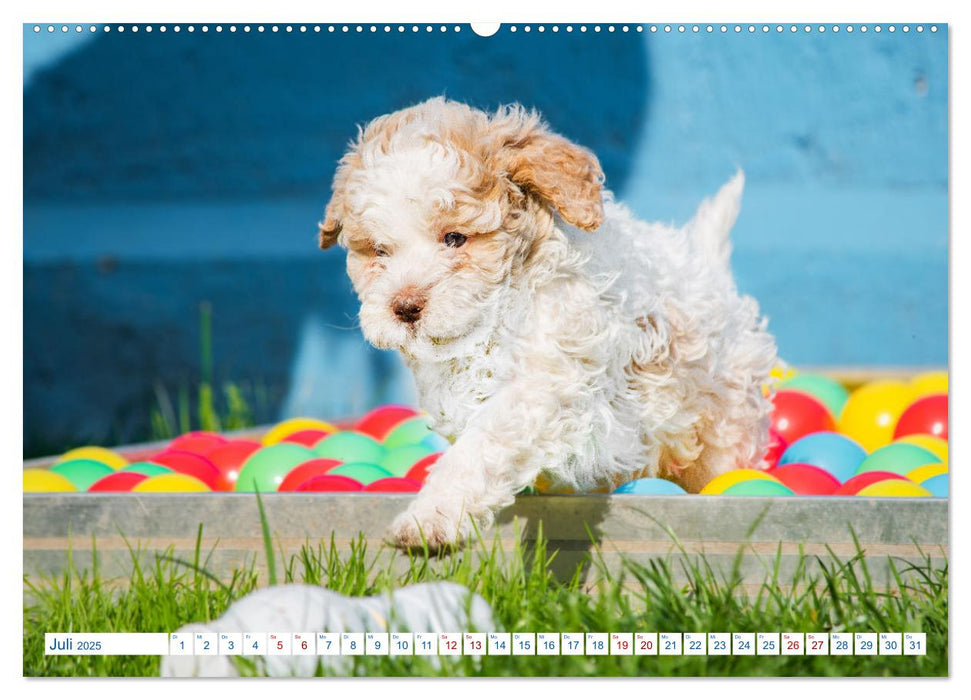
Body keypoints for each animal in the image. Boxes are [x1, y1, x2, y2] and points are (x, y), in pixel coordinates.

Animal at [322, 97, 780, 552]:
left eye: (454, 238)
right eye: (379, 251)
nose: (404, 306)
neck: (493, 318)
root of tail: (707, 269)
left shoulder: (547, 380)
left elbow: (481, 446)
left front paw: (430, 517)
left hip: (723, 425)